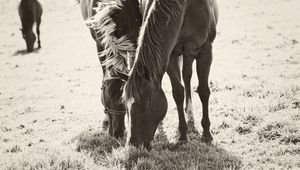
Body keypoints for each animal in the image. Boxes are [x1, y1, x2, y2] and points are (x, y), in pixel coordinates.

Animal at [123, 0, 219, 149]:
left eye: (144, 105)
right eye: (124, 105)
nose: (133, 144)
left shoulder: (205, 51)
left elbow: (203, 91)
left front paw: (207, 134)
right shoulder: (171, 54)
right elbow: (178, 92)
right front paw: (183, 135)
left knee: (187, 76)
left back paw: (190, 113)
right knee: (186, 76)